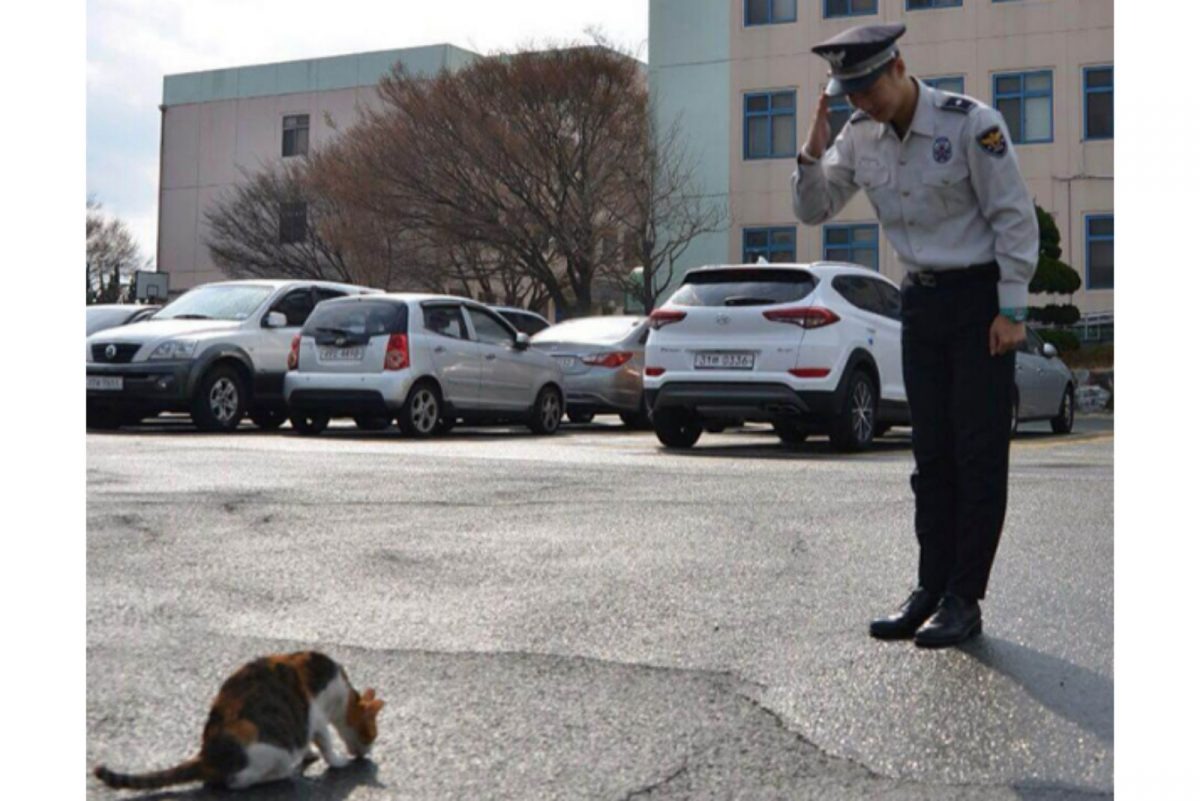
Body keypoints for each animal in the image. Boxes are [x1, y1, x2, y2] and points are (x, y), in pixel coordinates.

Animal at [94, 652, 384, 791]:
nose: (369, 752)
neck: (343, 694)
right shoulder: (317, 714)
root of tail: (206, 756)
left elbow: (312, 741)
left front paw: (310, 753)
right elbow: (325, 741)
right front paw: (336, 761)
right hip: (271, 750)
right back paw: (282, 774)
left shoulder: (310, 720)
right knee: (238, 782)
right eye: (372, 734)